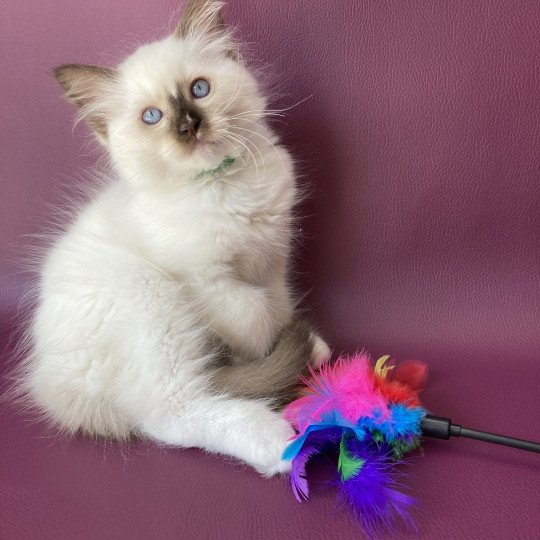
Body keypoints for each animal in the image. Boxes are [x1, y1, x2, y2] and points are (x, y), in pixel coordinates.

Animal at [14, 0, 330, 474]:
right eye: (152, 117)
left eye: (199, 90)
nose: (189, 126)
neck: (223, 185)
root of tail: (50, 382)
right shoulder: (209, 282)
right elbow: (255, 317)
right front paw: (267, 355)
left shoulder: (272, 264)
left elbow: (277, 311)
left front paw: (302, 350)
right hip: (151, 296)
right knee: (169, 415)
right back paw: (278, 444)